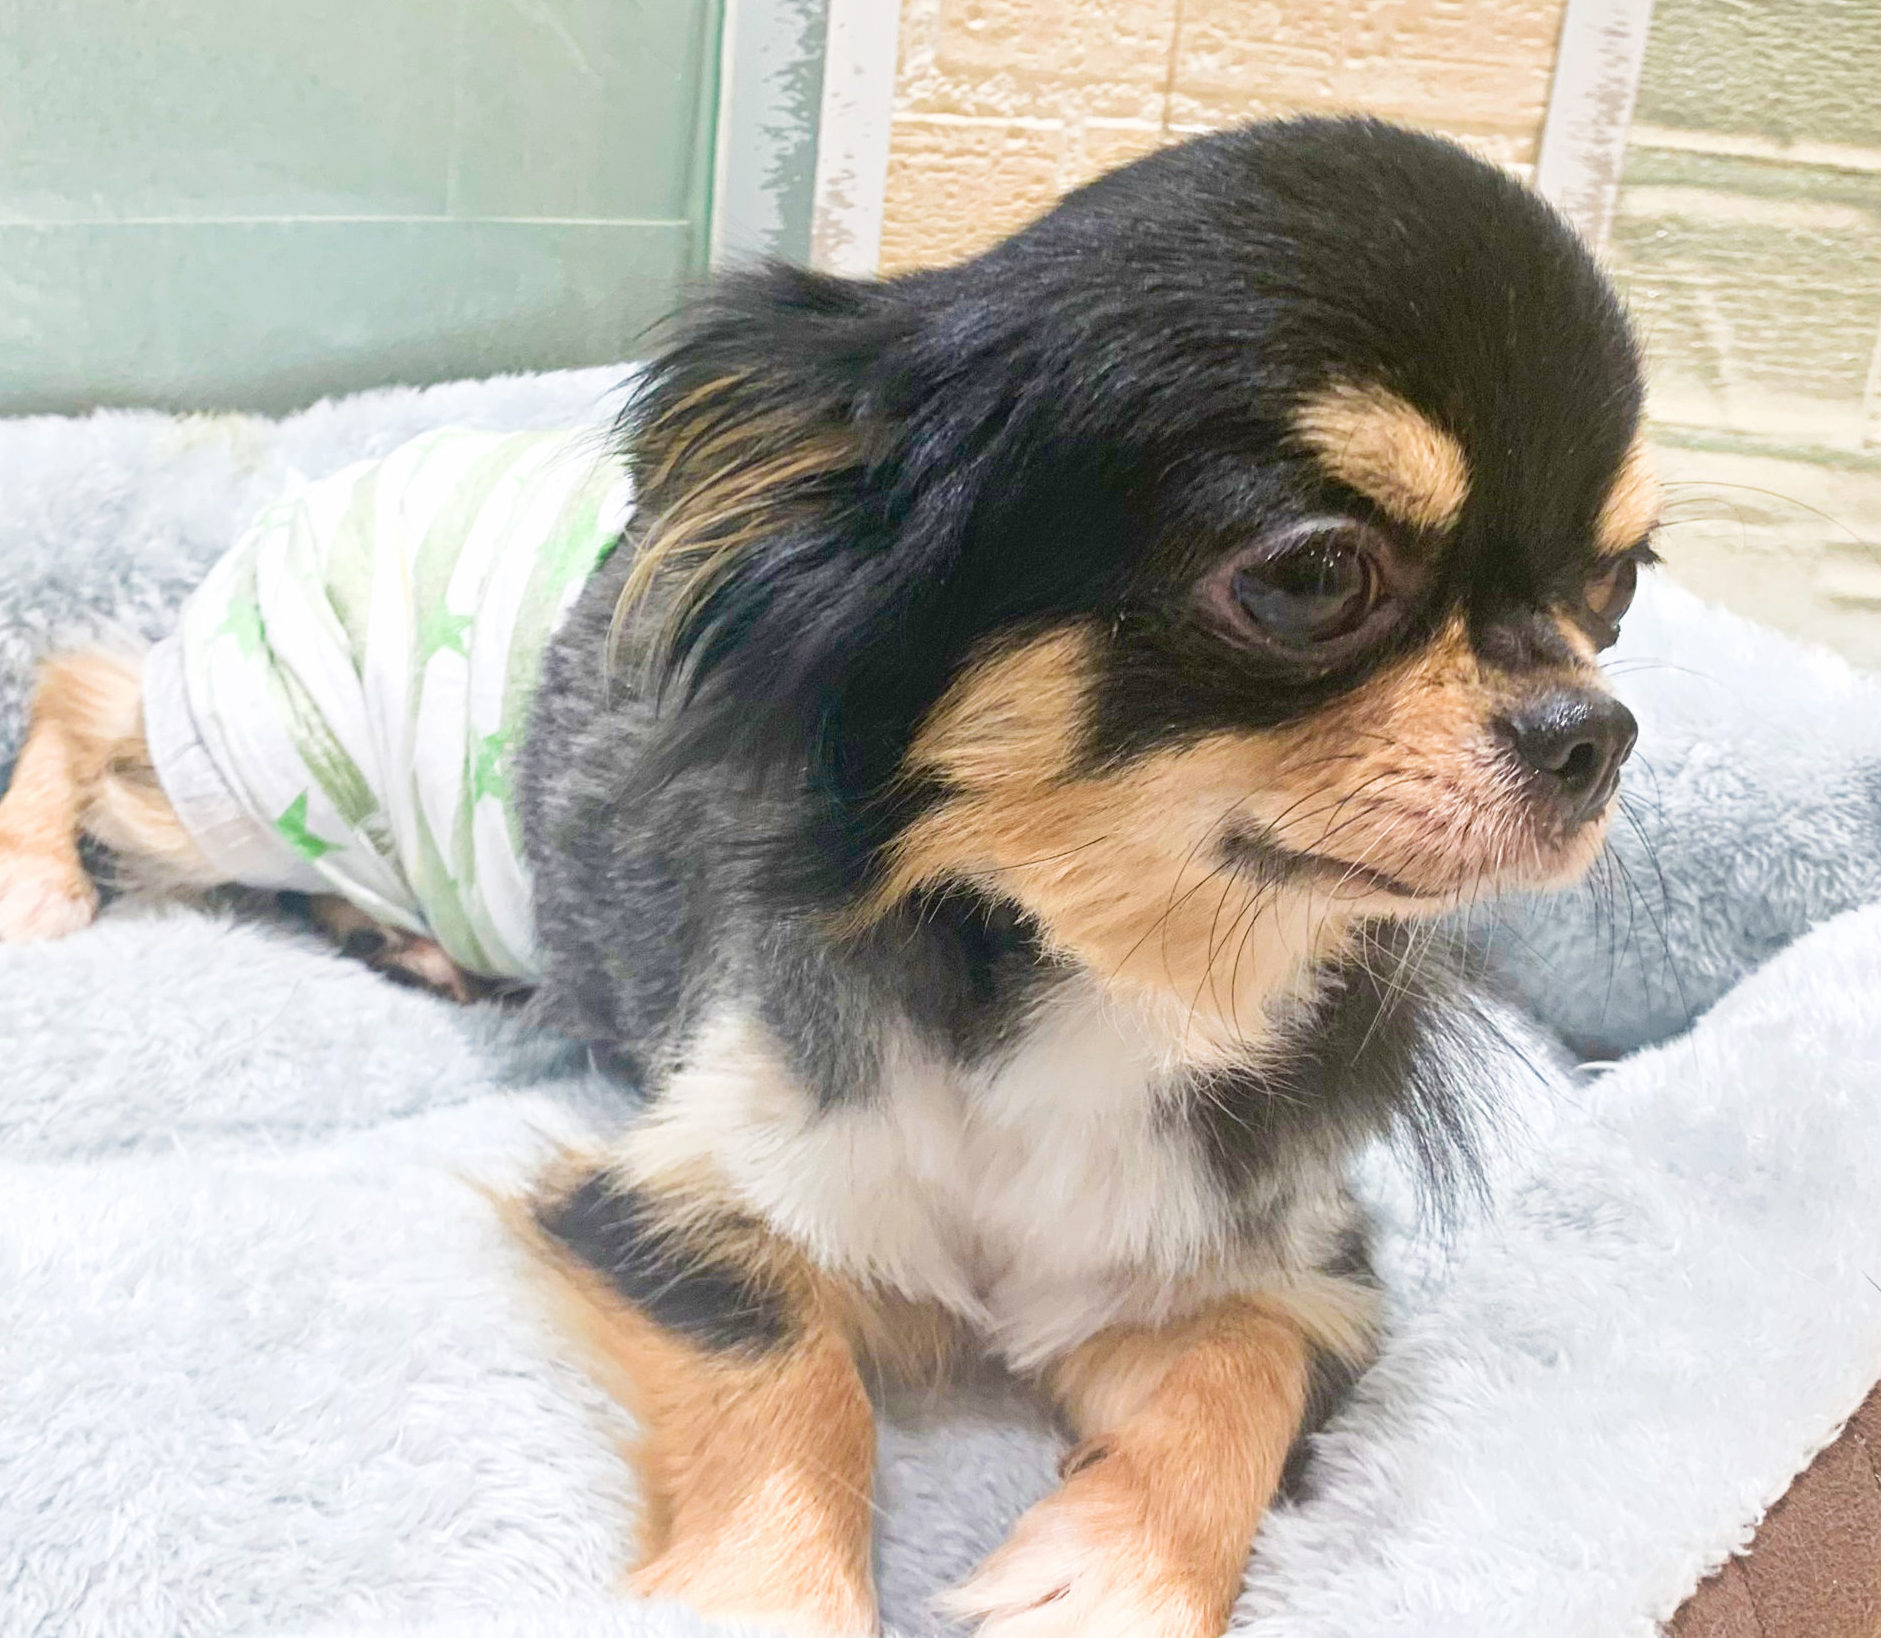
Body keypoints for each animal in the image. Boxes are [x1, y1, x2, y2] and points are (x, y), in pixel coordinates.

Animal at [0, 118, 1655, 1637]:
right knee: (86, 677)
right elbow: (792, 1379)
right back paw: (38, 886)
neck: (1093, 967)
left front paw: (1117, 1575)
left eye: (1620, 587)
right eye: (1311, 576)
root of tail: (336, 476)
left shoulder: (1262, 1265)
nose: (1595, 731)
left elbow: (1237, 1375)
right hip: (260, 768)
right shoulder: (670, 1196)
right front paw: (773, 1591)